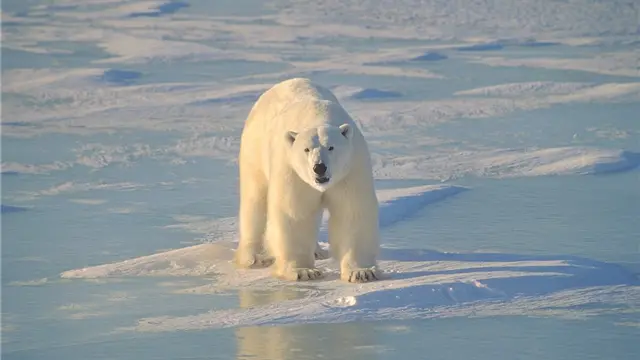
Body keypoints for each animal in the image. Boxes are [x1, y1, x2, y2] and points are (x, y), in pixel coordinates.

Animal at [236, 77, 380, 282]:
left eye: (331, 147)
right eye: (306, 149)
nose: (319, 167)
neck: (317, 116)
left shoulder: (351, 169)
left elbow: (352, 211)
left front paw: (361, 271)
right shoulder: (292, 171)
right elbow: (295, 213)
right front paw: (304, 271)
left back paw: (318, 251)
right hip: (254, 150)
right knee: (254, 200)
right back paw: (253, 258)